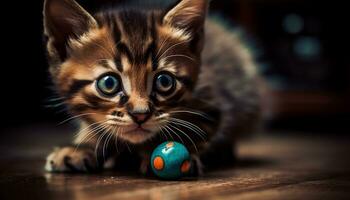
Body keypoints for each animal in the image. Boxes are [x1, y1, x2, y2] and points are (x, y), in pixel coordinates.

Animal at [43, 0, 262, 174]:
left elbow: (194, 129)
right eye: (109, 83)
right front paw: (81, 147)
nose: (140, 115)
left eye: (164, 82)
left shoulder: (212, 104)